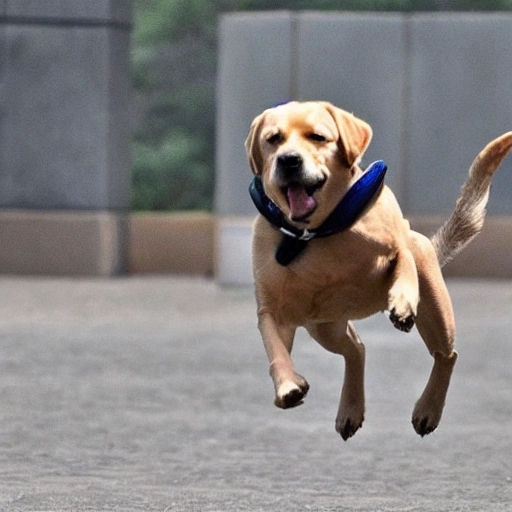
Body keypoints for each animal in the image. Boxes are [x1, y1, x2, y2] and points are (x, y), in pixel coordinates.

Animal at [244, 101, 512, 440]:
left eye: (318, 137)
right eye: (273, 139)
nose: (288, 160)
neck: (318, 233)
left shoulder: (397, 243)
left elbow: (403, 264)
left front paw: (402, 304)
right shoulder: (272, 311)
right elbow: (276, 350)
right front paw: (288, 386)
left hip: (436, 310)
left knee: (446, 355)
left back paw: (428, 409)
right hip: (325, 328)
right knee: (356, 350)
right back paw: (350, 409)